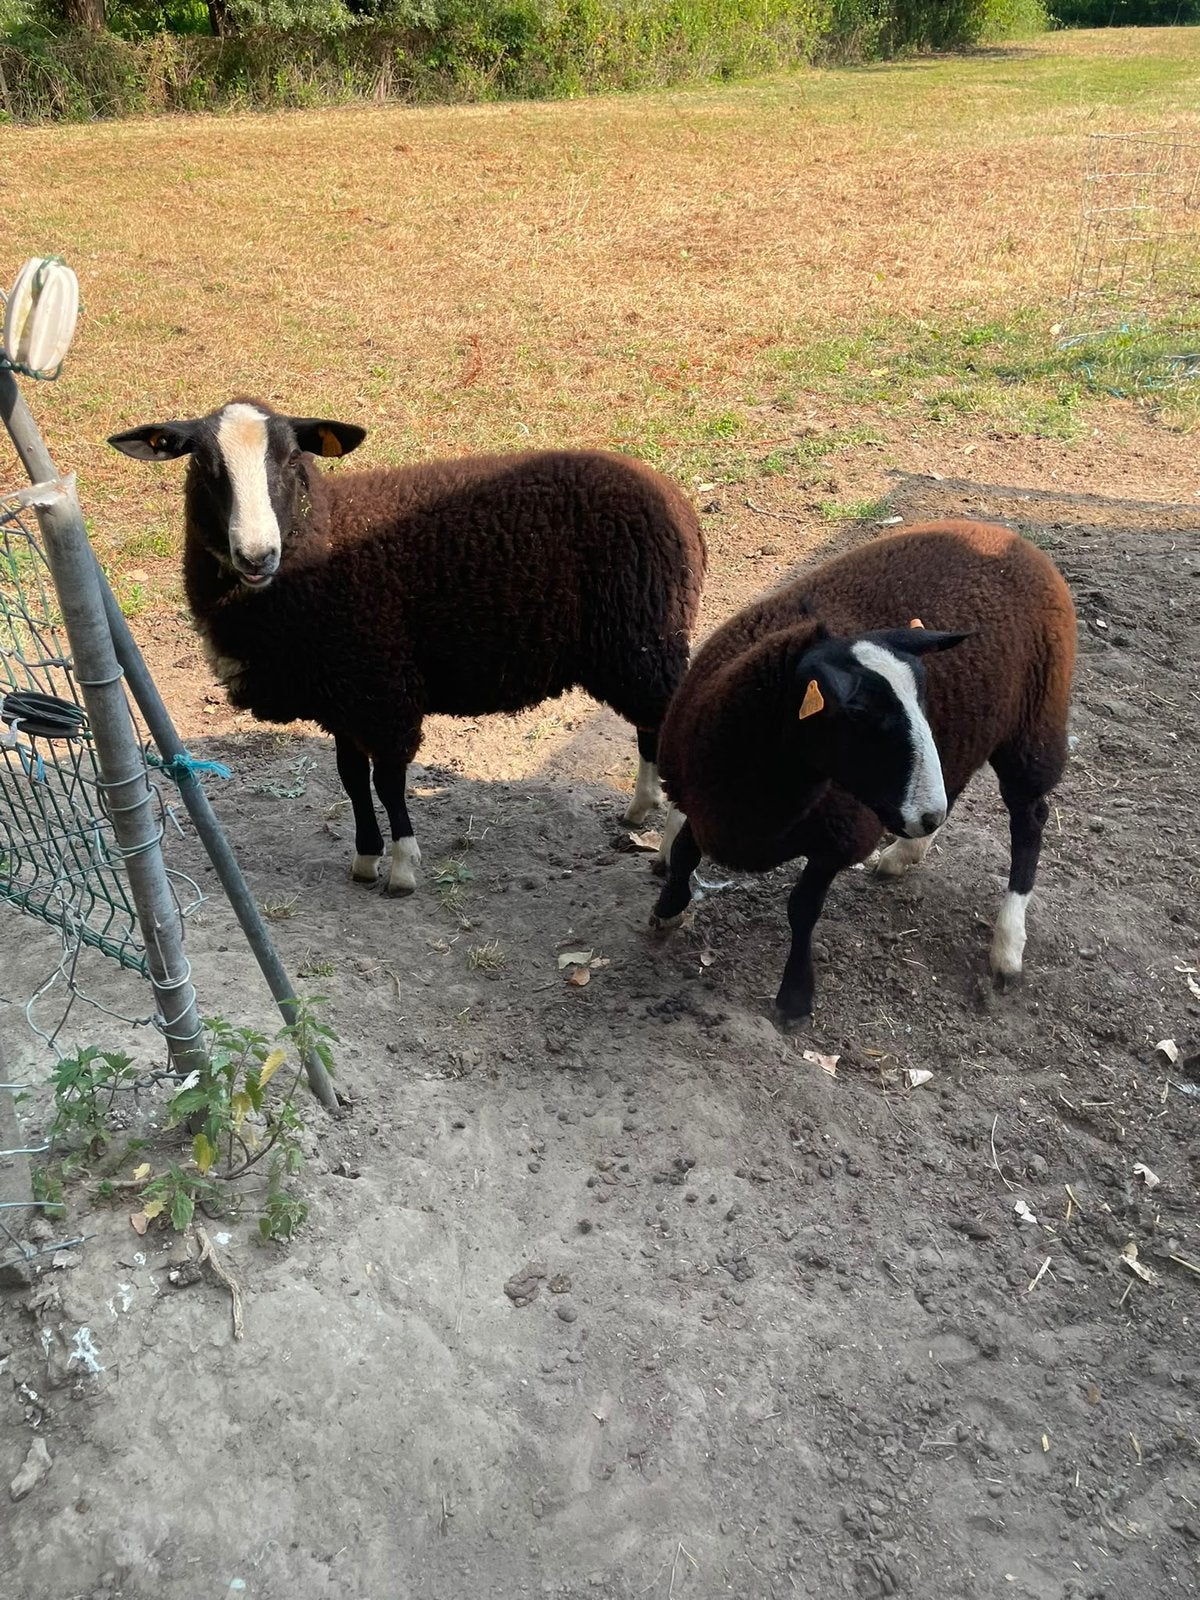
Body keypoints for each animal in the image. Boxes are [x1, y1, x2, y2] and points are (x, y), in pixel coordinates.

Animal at [108, 399, 706, 893]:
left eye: (292, 459)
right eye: (204, 466)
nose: (257, 555)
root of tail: (672, 496)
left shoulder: (381, 687)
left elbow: (389, 780)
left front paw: (400, 866)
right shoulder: (341, 696)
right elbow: (352, 779)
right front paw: (365, 858)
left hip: (642, 638)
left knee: (670, 722)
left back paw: (671, 844)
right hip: (637, 646)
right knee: (653, 726)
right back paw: (641, 809)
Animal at [650, 519, 1076, 1021]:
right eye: (857, 713)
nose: (924, 815)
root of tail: (1011, 538)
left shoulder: (840, 838)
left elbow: (802, 908)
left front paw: (795, 997)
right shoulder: (700, 800)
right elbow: (684, 853)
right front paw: (667, 910)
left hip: (1032, 724)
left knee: (1029, 820)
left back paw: (1007, 945)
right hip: (967, 735)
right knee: (955, 787)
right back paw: (906, 852)